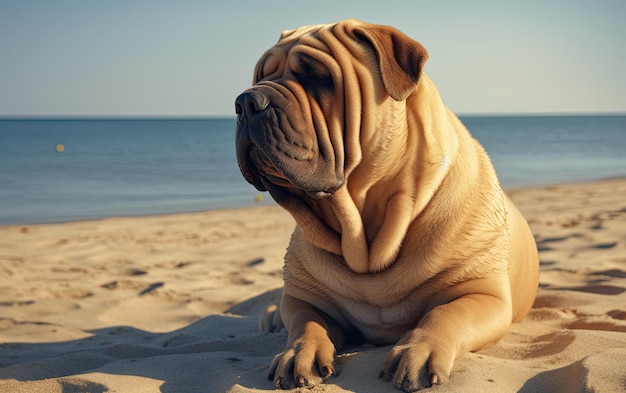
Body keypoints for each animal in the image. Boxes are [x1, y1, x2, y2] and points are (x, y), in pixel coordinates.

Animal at [234, 19, 536, 392]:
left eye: (320, 78)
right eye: (260, 75)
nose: (247, 101)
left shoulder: (484, 295)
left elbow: (444, 313)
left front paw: (417, 350)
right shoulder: (305, 297)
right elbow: (307, 322)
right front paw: (299, 352)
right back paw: (270, 316)